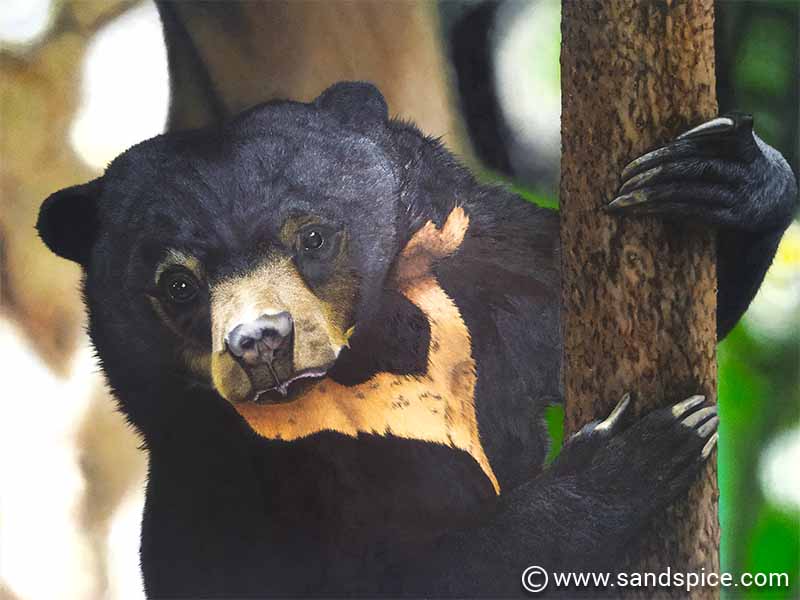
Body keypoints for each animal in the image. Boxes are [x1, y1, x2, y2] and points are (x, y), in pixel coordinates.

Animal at [37, 82, 798, 597]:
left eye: (314, 237)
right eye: (178, 284)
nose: (259, 343)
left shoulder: (485, 268)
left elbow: (561, 304)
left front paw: (723, 173)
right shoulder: (219, 496)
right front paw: (635, 454)